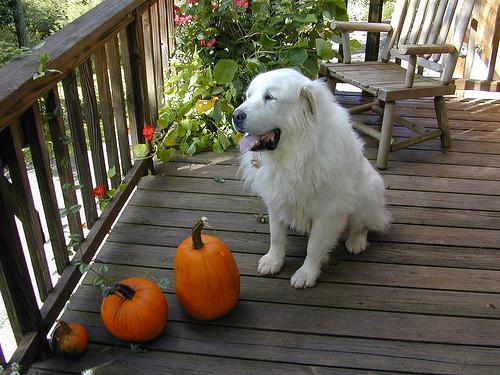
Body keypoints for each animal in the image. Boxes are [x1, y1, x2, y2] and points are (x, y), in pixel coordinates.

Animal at [232, 69, 392, 290]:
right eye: (249, 95)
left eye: (269, 97)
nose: (235, 115)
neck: (296, 154)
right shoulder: (276, 199)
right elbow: (276, 236)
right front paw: (273, 261)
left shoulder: (328, 211)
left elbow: (314, 247)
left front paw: (306, 273)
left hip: (369, 190)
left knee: (363, 226)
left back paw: (356, 241)